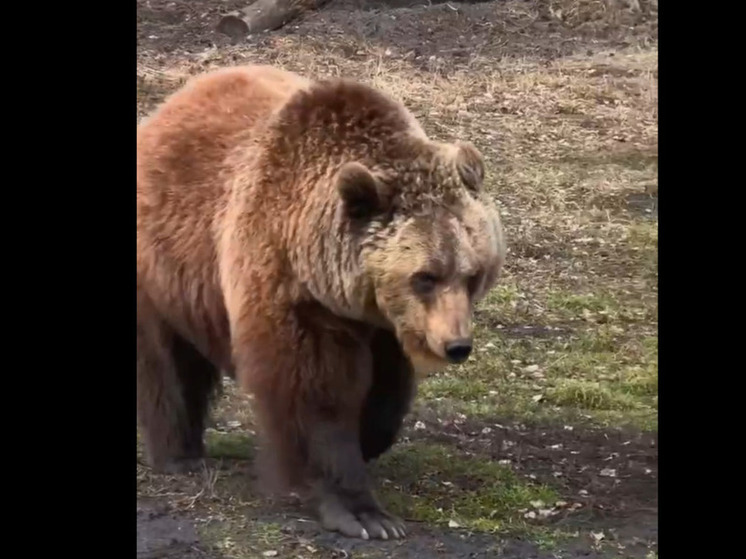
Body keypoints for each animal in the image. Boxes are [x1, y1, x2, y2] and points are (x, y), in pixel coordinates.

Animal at [137, 65, 502, 544]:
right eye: (425, 276)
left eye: (473, 273)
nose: (456, 345)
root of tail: (166, 109)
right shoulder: (292, 290)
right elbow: (313, 392)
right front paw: (363, 513)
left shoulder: (384, 326)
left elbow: (386, 391)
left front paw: (369, 437)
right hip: (165, 265)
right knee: (168, 362)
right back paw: (180, 453)